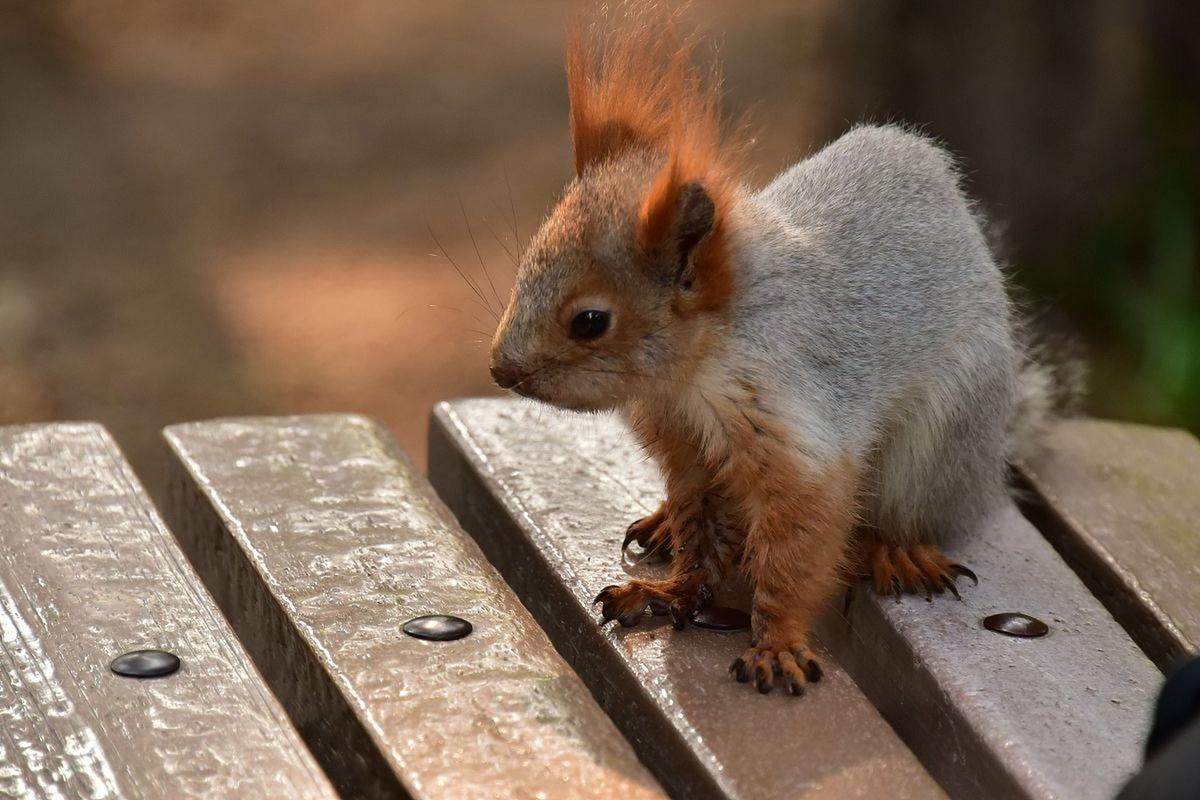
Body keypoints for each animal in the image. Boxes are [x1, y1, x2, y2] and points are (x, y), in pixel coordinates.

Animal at [484, 4, 1070, 695]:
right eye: (528, 262)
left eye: (590, 321)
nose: (500, 369)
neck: (689, 378)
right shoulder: (688, 449)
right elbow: (699, 525)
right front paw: (671, 590)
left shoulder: (798, 435)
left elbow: (798, 548)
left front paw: (778, 643)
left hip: (942, 441)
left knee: (913, 512)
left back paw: (895, 549)